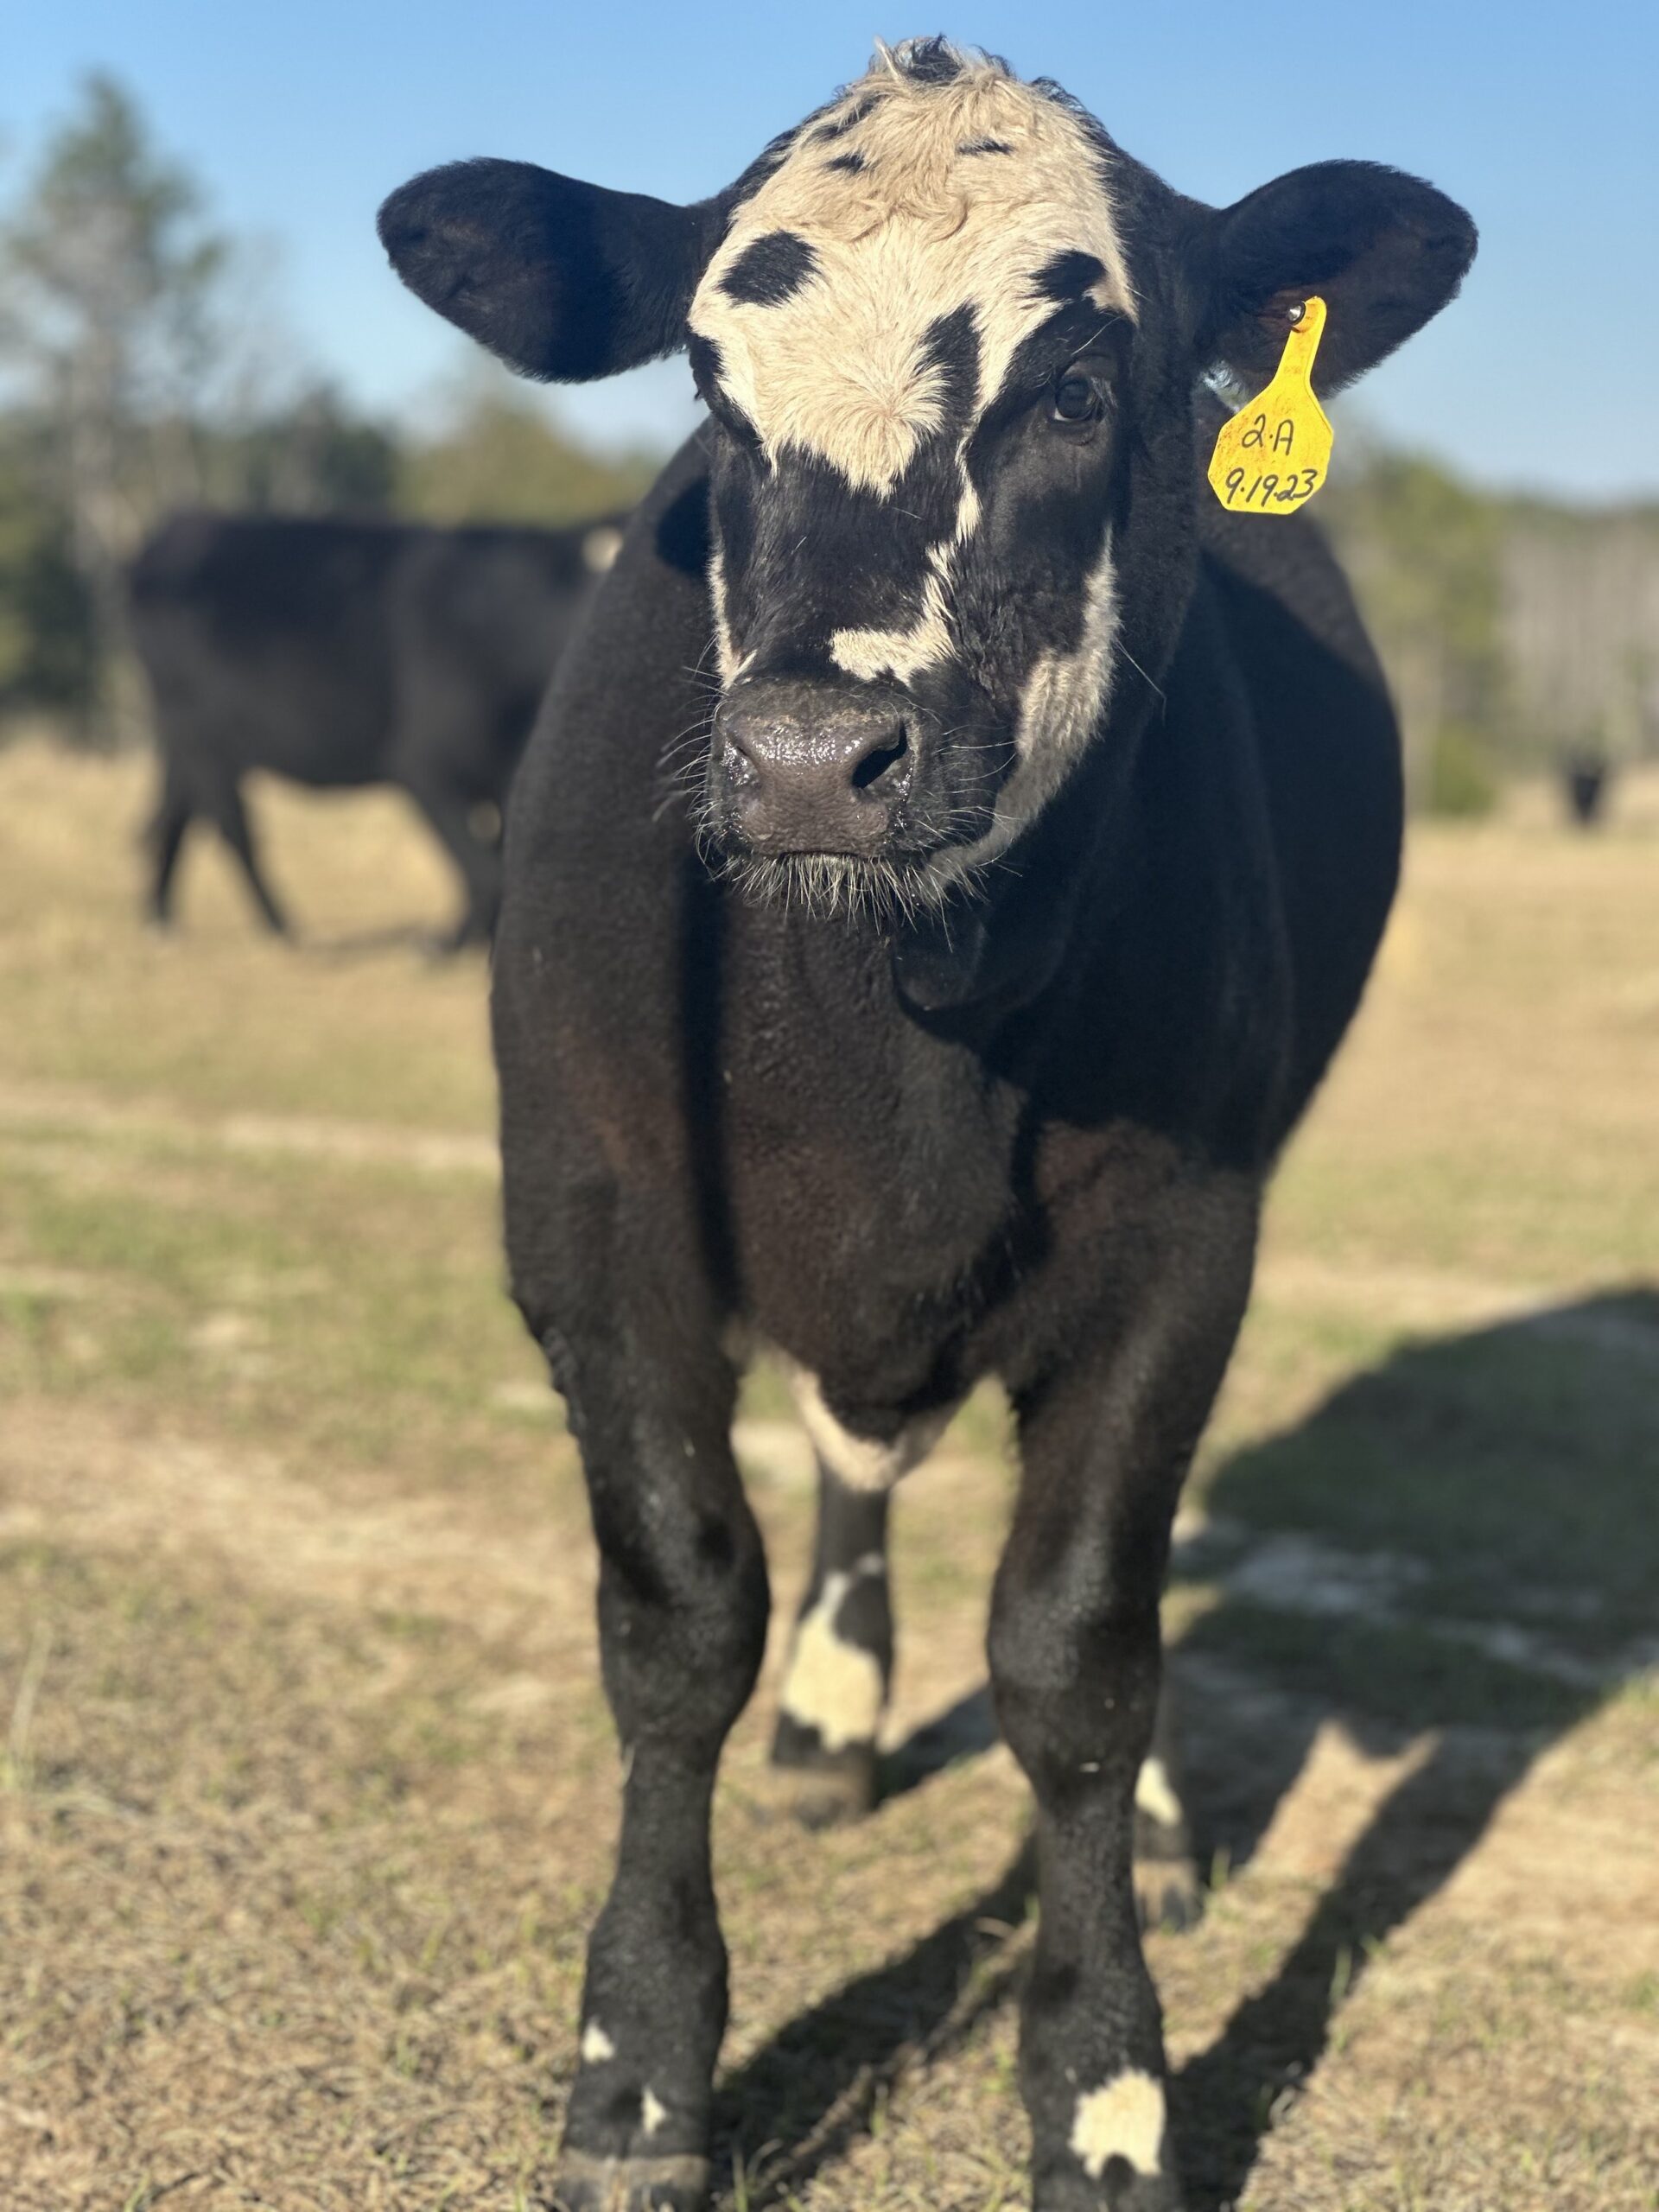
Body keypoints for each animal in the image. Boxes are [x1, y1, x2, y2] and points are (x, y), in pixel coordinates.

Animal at [128, 510, 625, 947]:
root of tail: (178, 529)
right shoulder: (424, 765)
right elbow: (483, 870)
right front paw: (445, 946)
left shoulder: (507, 780)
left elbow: (498, 861)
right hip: (199, 736)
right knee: (231, 825)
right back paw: (283, 928)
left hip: (190, 740)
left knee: (177, 815)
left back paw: (160, 919)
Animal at [379, 37, 1474, 2210]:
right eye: (710, 385)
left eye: (1078, 391)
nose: (815, 753)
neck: (897, 1037)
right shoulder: (590, 1209)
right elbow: (676, 1618)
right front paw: (637, 2075)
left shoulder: (1184, 1240)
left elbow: (1077, 1649)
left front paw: (1109, 2083)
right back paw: (828, 1721)